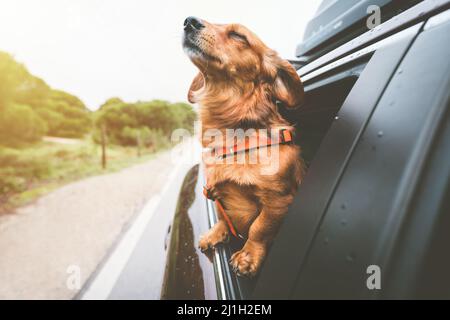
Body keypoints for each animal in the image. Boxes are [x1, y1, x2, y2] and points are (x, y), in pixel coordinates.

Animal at [183, 16, 306, 278]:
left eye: (238, 36)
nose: (189, 21)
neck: (234, 141)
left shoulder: (278, 200)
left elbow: (259, 228)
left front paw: (248, 256)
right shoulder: (214, 192)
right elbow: (223, 215)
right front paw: (217, 233)